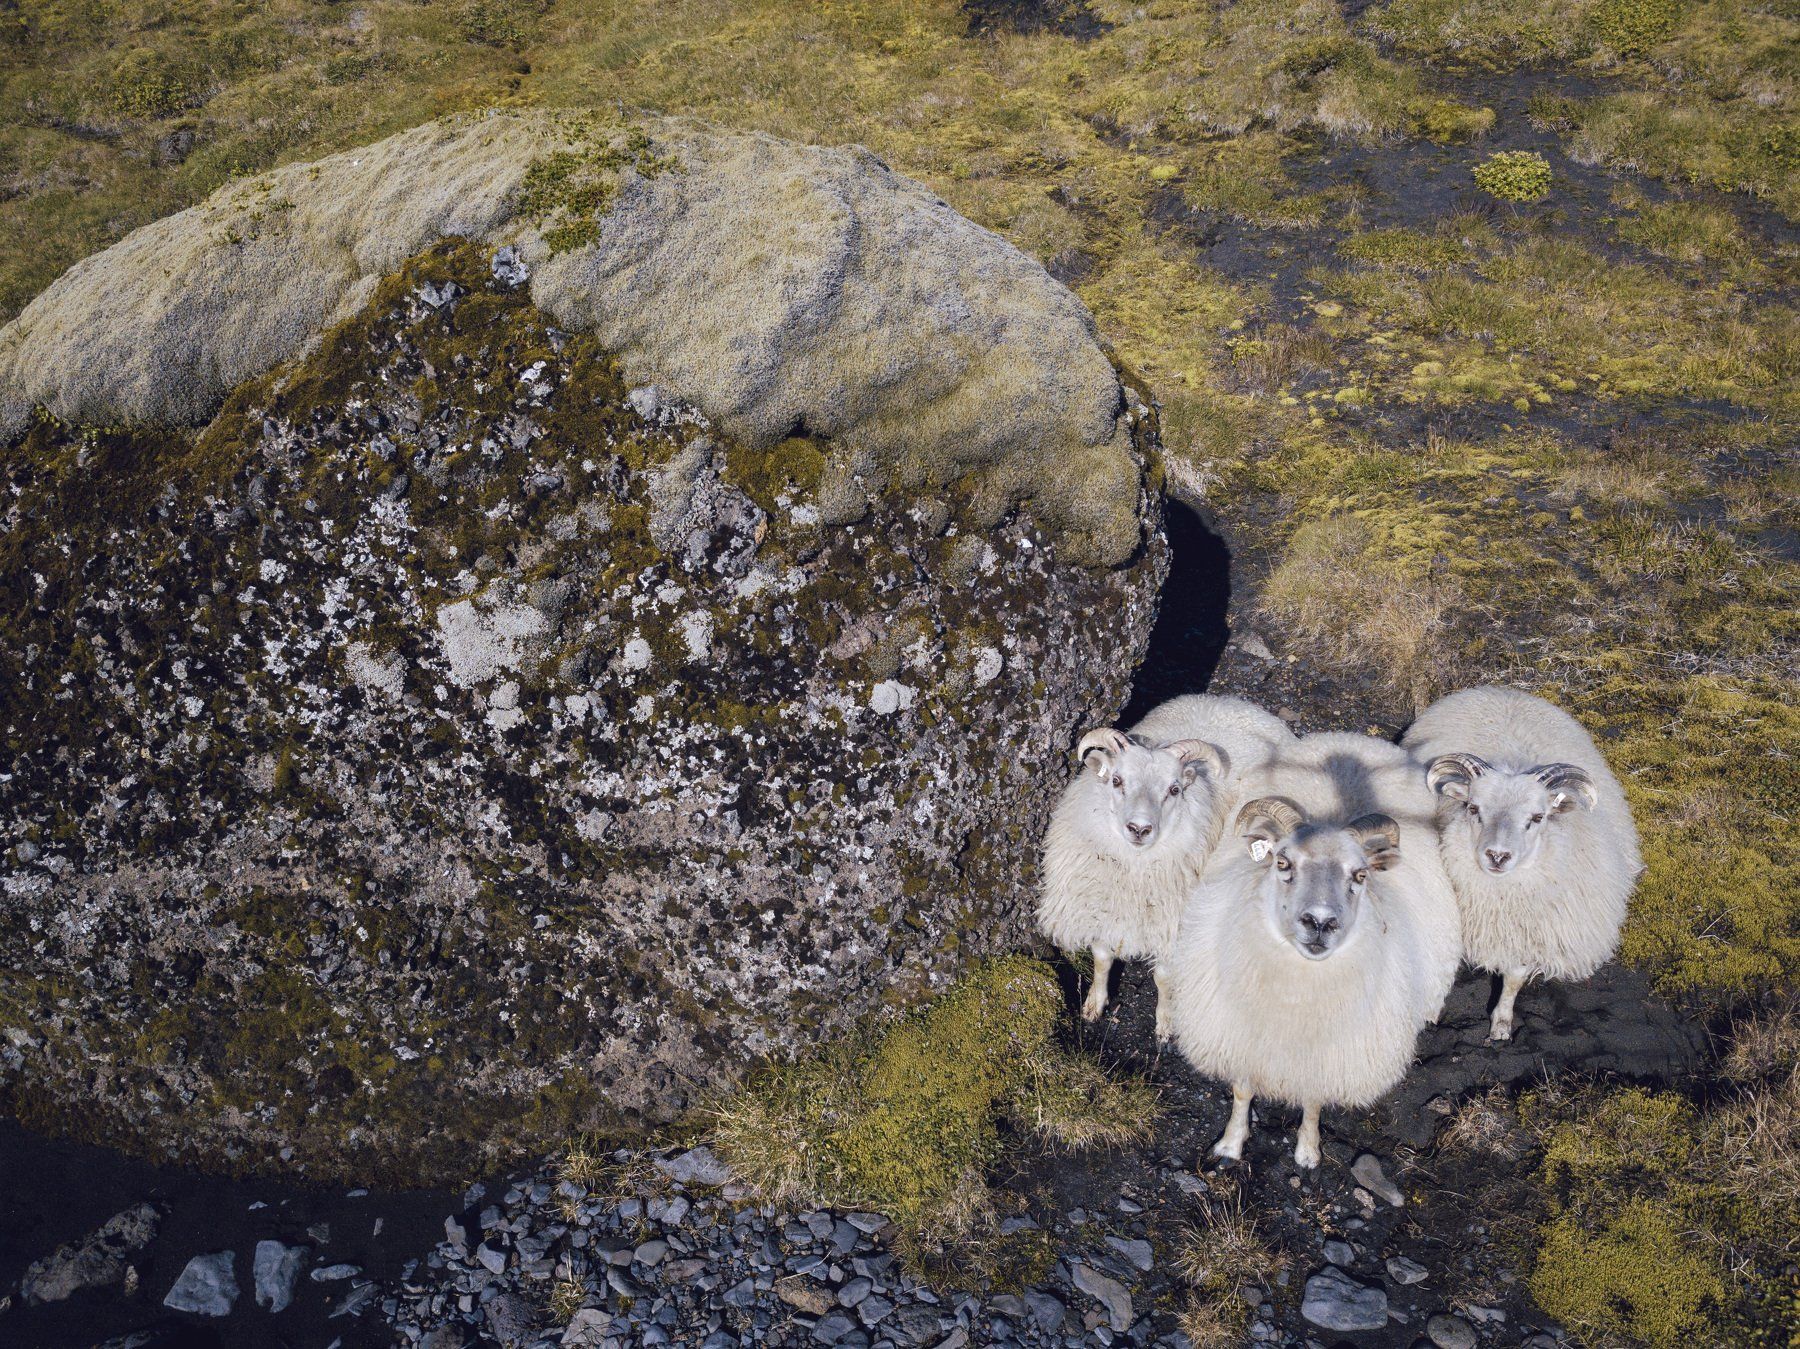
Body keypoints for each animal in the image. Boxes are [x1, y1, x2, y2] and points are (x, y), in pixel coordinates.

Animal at [1036, 695, 1303, 1030]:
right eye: (1116, 780)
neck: (1134, 872)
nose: (1139, 829)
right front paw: (1094, 1004)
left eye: (1174, 789)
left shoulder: (1175, 926)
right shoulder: (1102, 911)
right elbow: (1102, 958)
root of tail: (1230, 701)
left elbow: (1163, 977)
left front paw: (1166, 1021)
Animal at [1166, 731, 1461, 1159]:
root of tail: (1351, 738)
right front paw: (1231, 1144)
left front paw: (1308, 1151)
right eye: (1282, 863)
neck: (1297, 996)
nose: (1320, 922)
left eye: (1360, 874)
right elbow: (1241, 1090)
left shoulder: (1324, 1056)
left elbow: (1314, 1100)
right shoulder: (1242, 1035)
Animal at [1404, 684, 1648, 1044]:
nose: (1497, 856)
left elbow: (1515, 978)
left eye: (1537, 817)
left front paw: (1501, 1024)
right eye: (1473, 808)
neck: (1503, 896)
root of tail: (1501, 690)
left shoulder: (1526, 931)